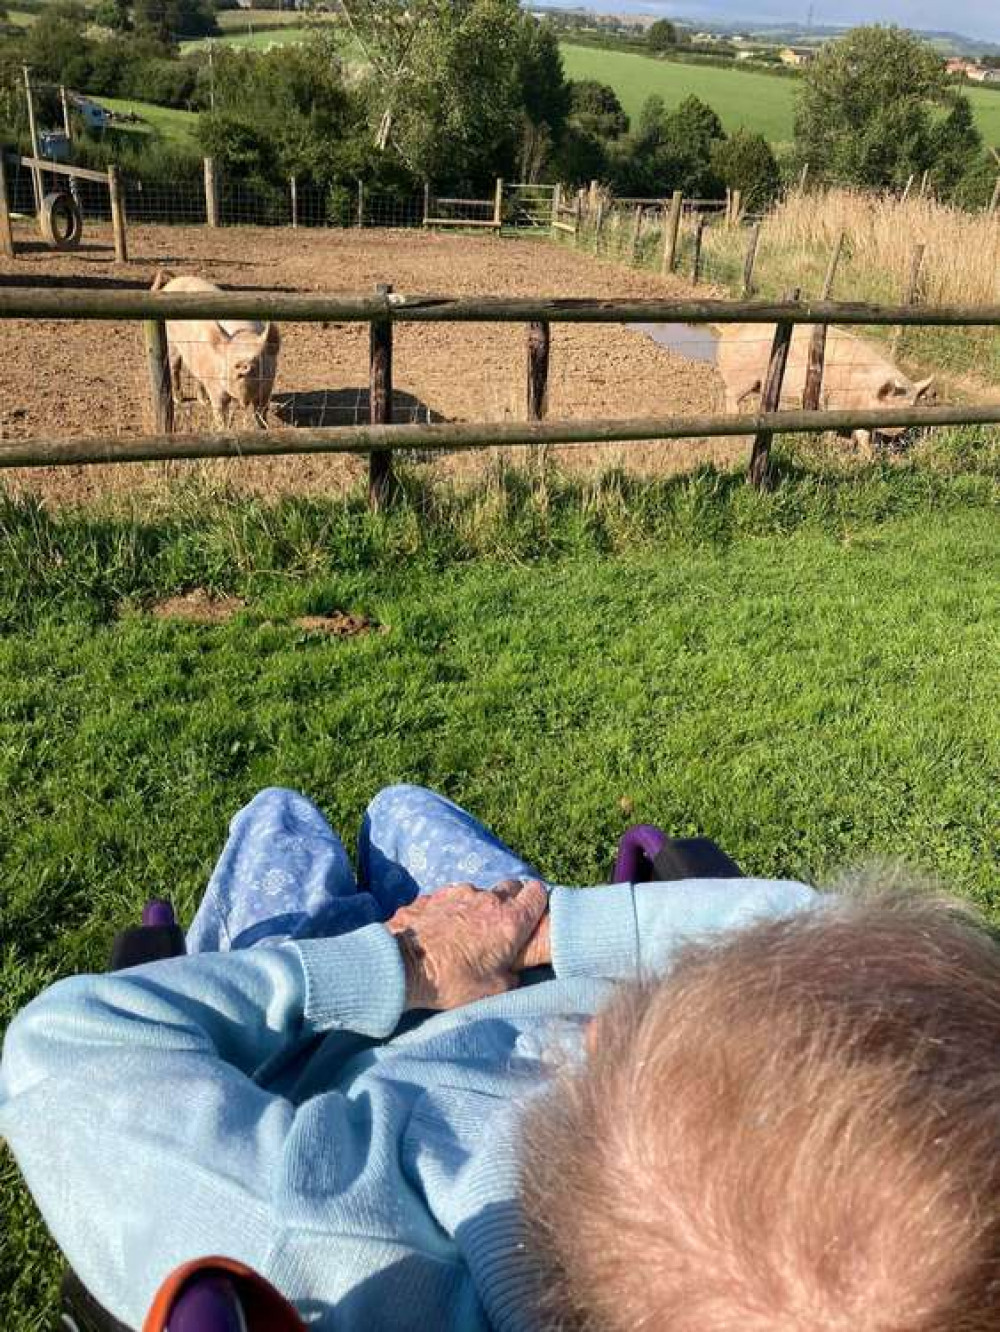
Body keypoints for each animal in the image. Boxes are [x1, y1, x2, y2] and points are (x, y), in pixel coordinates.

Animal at [150, 271, 282, 431]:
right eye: (229, 357)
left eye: (259, 356)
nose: (243, 363)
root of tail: (173, 281)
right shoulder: (216, 389)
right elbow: (220, 413)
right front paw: (223, 430)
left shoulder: (267, 389)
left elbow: (261, 414)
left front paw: (263, 429)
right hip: (171, 341)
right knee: (175, 367)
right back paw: (179, 399)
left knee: (196, 375)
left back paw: (203, 401)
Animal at [713, 323, 937, 450]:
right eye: (892, 405)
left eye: (912, 405)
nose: (900, 429)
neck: (862, 390)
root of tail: (728, 330)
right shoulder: (833, 402)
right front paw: (833, 444)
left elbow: (863, 435)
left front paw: (867, 458)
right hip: (742, 379)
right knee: (729, 395)